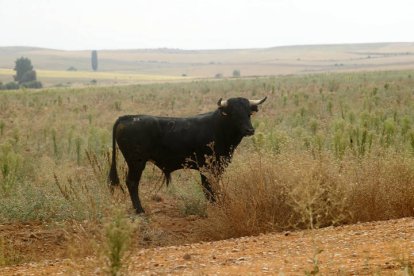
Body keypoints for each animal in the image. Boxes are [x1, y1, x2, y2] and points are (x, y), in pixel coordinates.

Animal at [108, 97, 266, 213]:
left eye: (249, 113)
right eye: (233, 114)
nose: (249, 130)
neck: (218, 127)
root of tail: (127, 117)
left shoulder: (218, 167)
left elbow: (215, 186)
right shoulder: (206, 168)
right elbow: (208, 189)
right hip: (136, 162)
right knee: (132, 183)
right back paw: (140, 211)